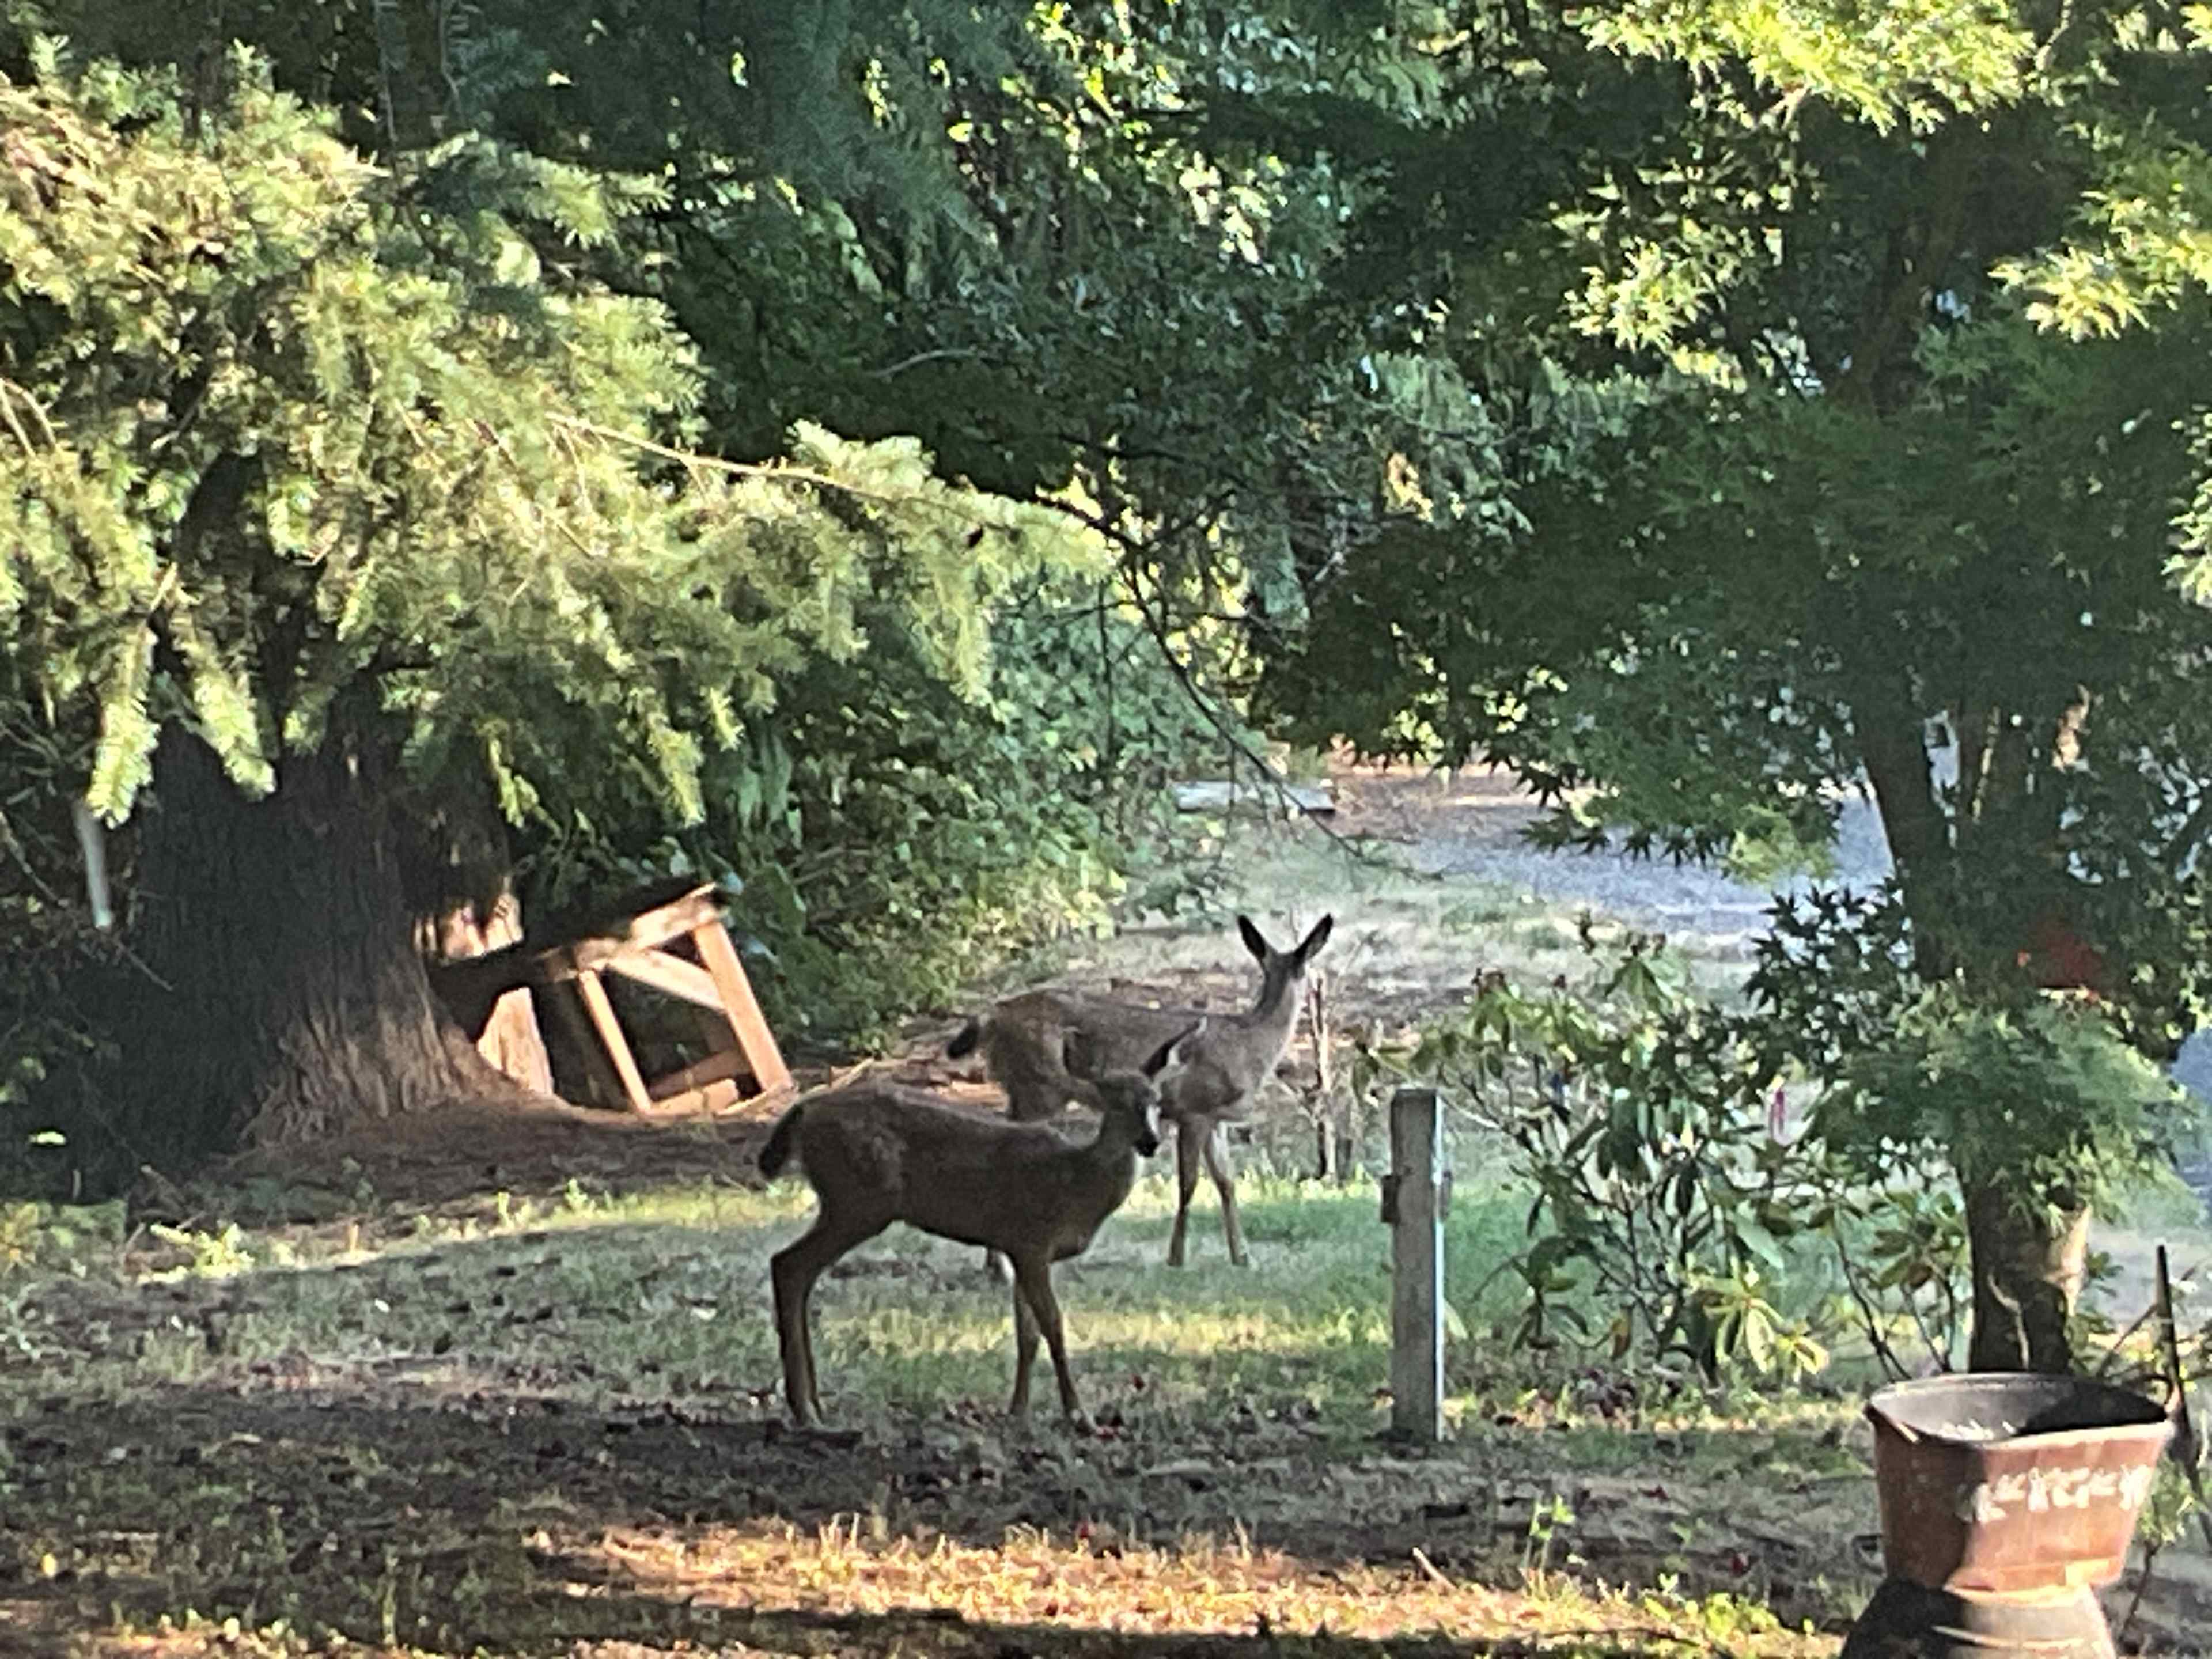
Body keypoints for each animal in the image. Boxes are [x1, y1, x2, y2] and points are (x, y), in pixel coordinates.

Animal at [755, 1032, 1189, 1427]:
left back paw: (813, 1404)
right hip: (858, 1200)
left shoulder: (1018, 1249)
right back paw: (805, 1409)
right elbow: (1053, 1326)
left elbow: (1027, 1334)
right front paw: (1078, 1414)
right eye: (1113, 1100)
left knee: (795, 1271)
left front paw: (1017, 1410)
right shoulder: (1031, 1240)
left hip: (849, 1201)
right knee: (789, 1264)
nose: (1151, 1142)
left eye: (1156, 1101)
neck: (1075, 1185)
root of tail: (804, 1109)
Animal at [946, 913, 1333, 1268]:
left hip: (1023, 1089)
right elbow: (1189, 1183)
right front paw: (1177, 1258)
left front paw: (1242, 1257)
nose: (1317, 982)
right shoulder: (1193, 1109)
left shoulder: (1216, 1118)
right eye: (1307, 966)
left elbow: (1226, 1182)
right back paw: (998, 1266)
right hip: (1038, 1088)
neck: (1250, 1045)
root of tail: (991, 1016)